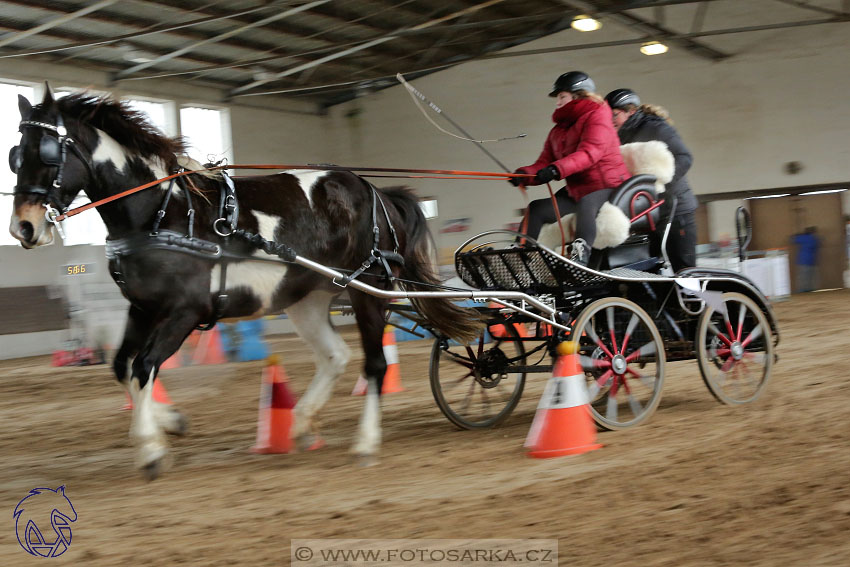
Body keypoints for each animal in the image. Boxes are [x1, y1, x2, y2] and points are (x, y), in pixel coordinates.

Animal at [9, 87, 480, 480]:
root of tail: (374, 192)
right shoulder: (142, 308)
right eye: (16, 154)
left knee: (375, 365)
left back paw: (365, 443)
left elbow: (143, 367)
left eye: (46, 152)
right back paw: (303, 424)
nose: (23, 228)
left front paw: (151, 449)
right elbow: (123, 366)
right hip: (307, 298)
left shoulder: (184, 312)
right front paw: (170, 422)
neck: (161, 212)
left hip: (367, 290)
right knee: (335, 356)